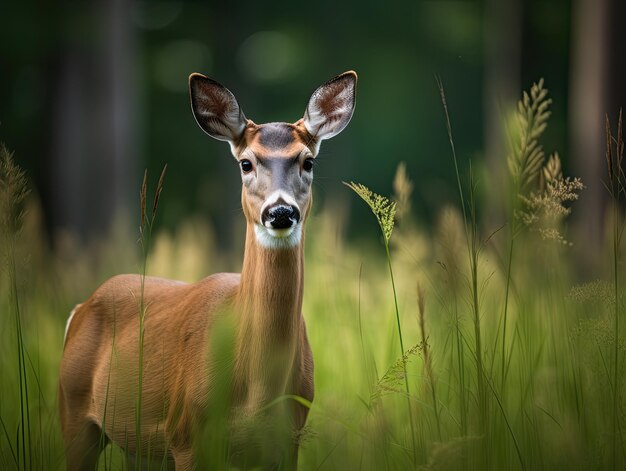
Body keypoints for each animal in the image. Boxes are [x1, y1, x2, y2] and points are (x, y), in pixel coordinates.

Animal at [58, 69, 356, 468]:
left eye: (308, 161)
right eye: (246, 163)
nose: (280, 211)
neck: (257, 394)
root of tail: (80, 308)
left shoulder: (290, 439)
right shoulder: (186, 435)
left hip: (137, 446)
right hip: (74, 411)